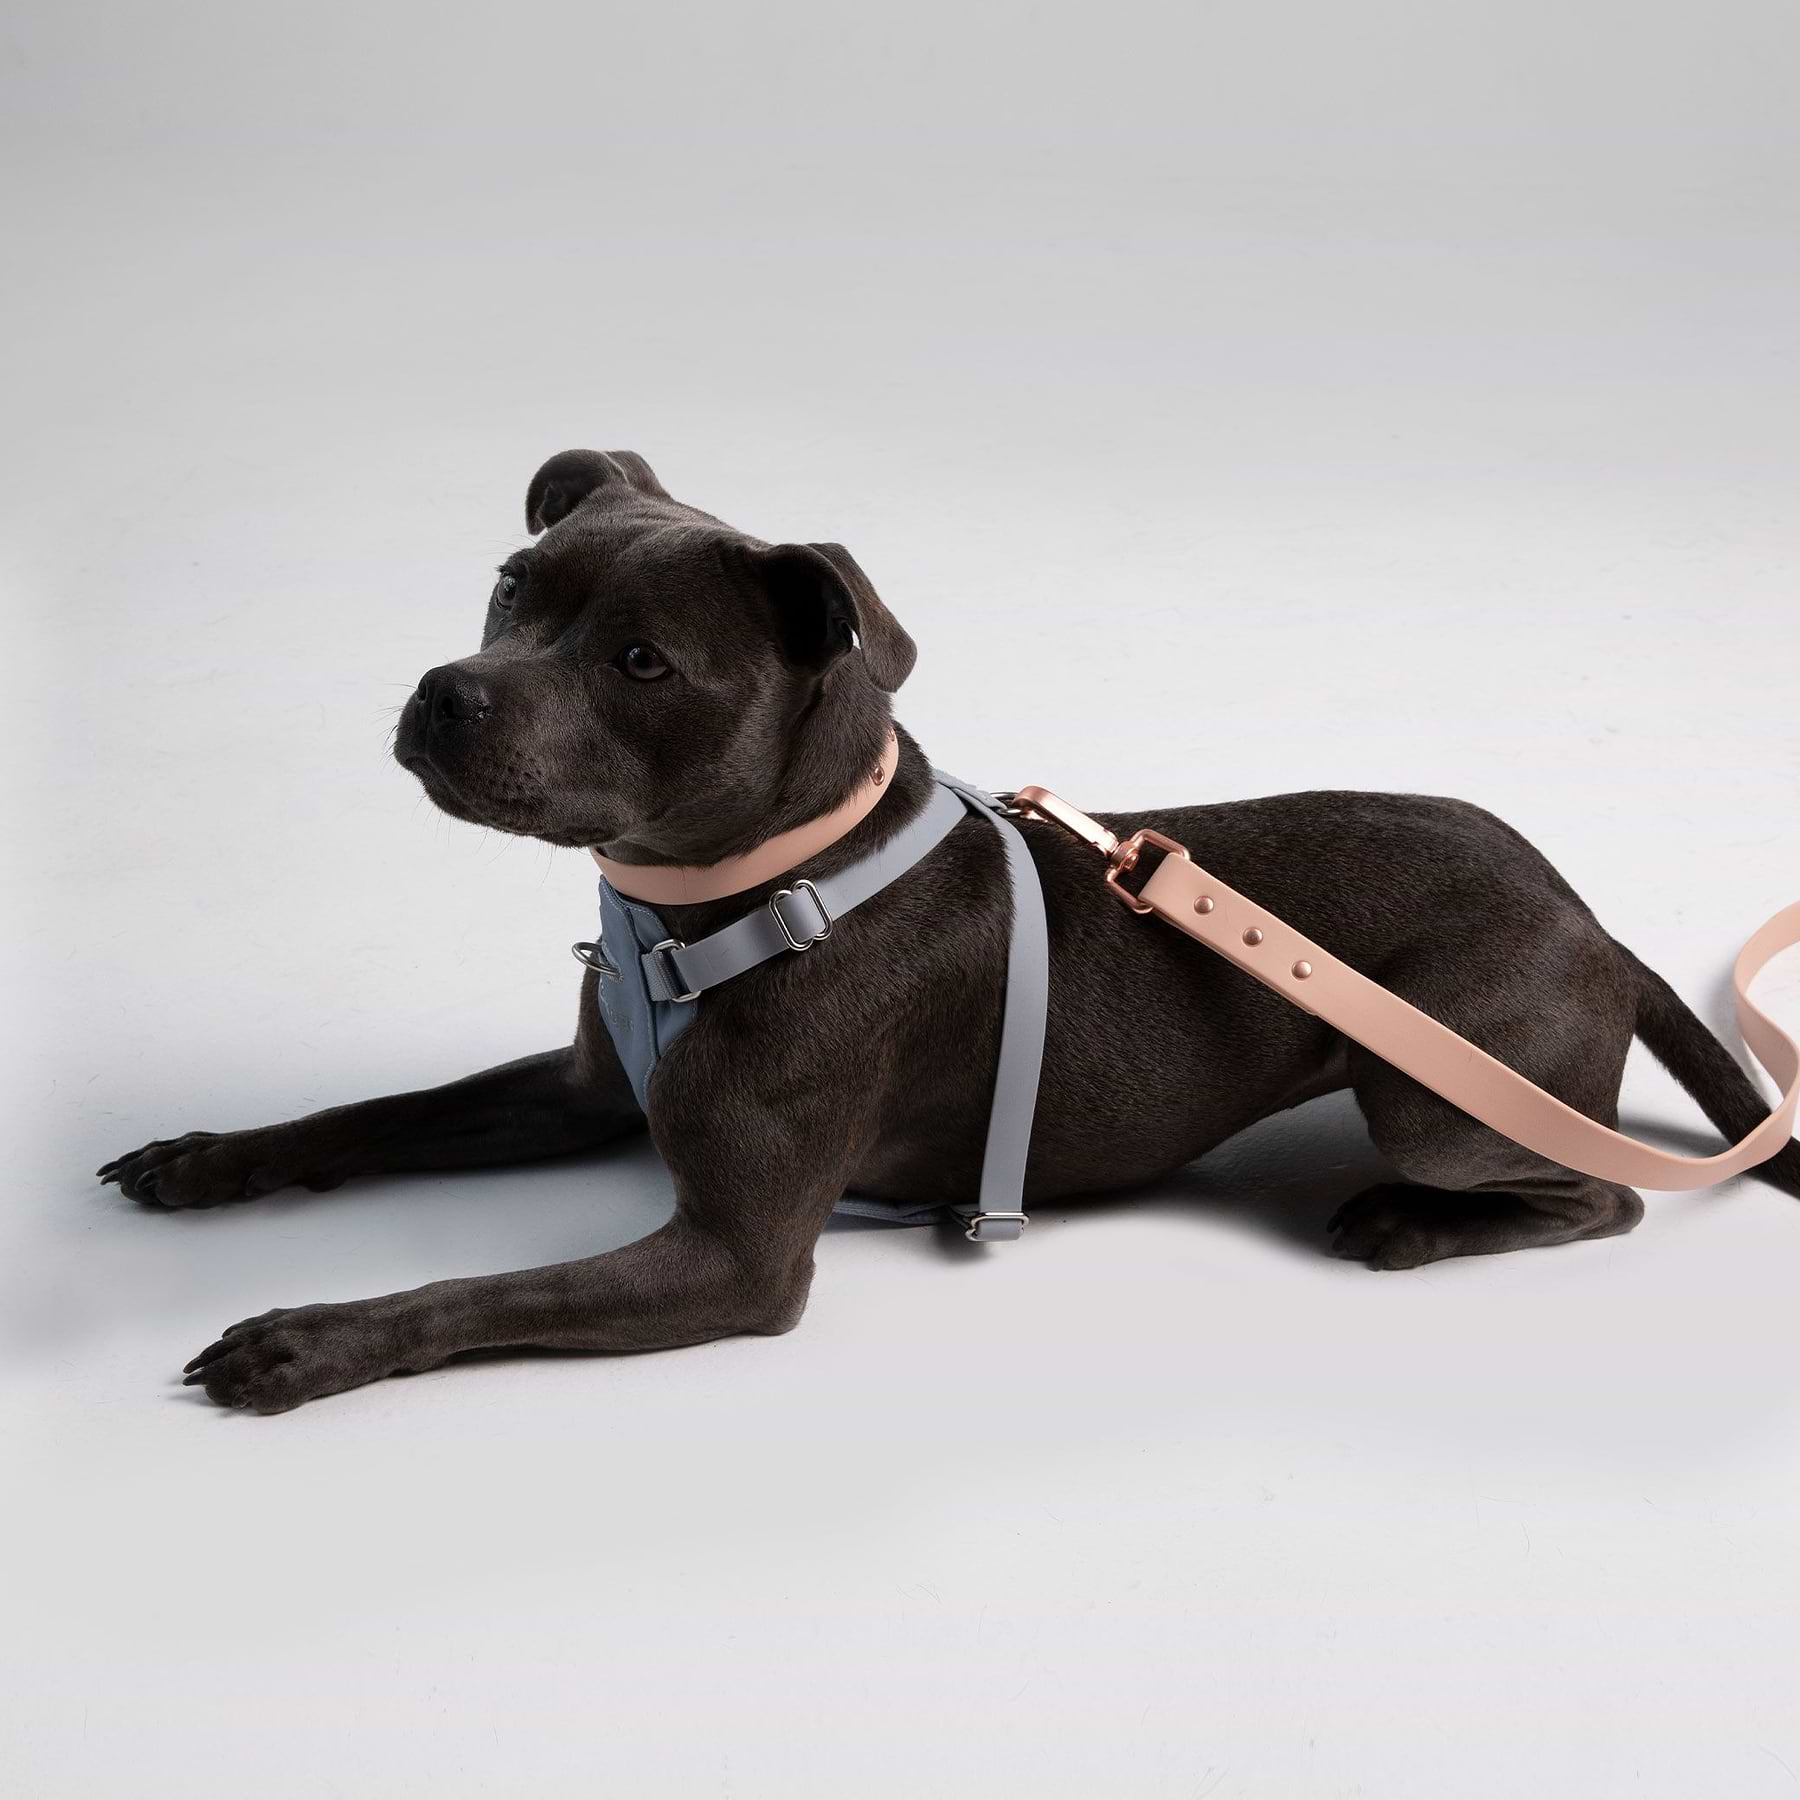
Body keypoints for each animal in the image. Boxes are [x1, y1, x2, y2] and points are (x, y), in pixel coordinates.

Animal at [102, 446, 1800, 1404]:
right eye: (514, 588)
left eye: (643, 662)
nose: (444, 694)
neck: (728, 897)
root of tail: (1591, 912)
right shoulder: (586, 1090)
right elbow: (372, 1111)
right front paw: (209, 1160)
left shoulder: (733, 1261)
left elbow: (477, 1295)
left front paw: (301, 1344)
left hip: (1436, 1090)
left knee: (1604, 1195)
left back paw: (1408, 1225)